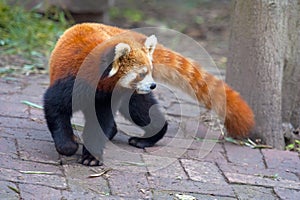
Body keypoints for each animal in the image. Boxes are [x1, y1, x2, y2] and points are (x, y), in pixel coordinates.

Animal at [44, 22, 253, 166]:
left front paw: (91, 156)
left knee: (142, 110)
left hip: (132, 95)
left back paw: (146, 138)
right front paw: (68, 145)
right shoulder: (72, 83)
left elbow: (100, 122)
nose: (153, 85)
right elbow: (55, 109)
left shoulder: (106, 97)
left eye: (151, 71)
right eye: (141, 74)